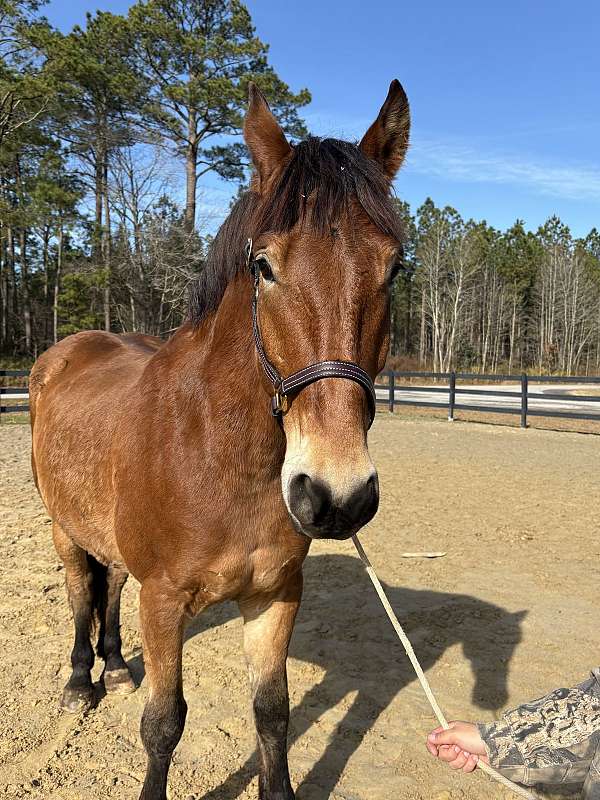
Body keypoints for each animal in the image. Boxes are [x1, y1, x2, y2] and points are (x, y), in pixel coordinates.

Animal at [30, 76, 410, 800]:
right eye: (264, 265)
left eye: (395, 268)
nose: (336, 496)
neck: (215, 453)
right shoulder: (164, 601)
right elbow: (163, 724)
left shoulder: (274, 594)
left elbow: (273, 712)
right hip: (64, 529)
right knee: (80, 593)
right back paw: (78, 681)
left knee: (108, 587)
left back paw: (115, 667)